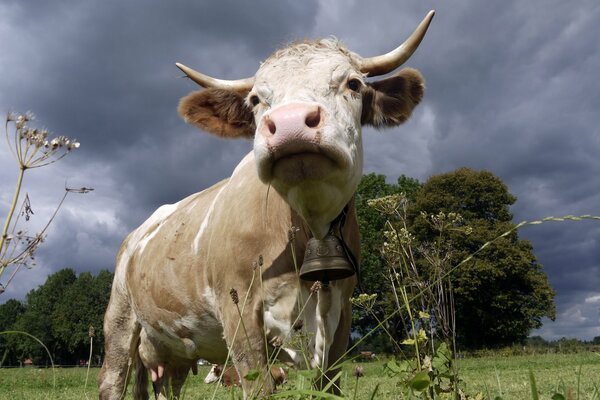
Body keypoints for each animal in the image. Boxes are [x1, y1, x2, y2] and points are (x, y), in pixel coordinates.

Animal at [98, 10, 436, 400]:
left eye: (353, 84)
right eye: (256, 99)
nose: (290, 123)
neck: (306, 226)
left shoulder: (342, 315)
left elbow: (330, 382)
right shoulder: (239, 310)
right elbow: (257, 383)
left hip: (174, 353)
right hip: (120, 321)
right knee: (112, 379)